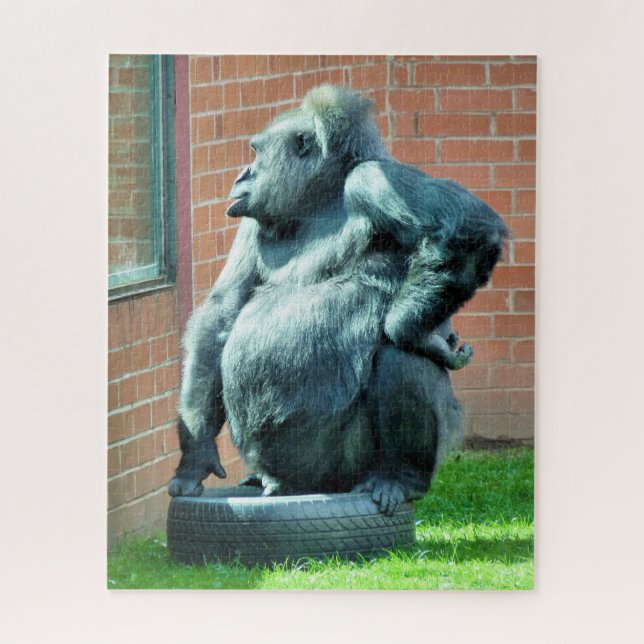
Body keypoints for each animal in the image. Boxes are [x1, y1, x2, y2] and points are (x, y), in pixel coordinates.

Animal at [168, 85, 508, 514]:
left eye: (256, 152)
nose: (242, 174)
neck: (319, 200)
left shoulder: (374, 180)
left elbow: (470, 230)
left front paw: (414, 332)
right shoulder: (251, 220)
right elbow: (222, 314)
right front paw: (195, 453)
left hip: (346, 470)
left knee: (398, 358)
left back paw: (400, 476)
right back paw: (265, 478)